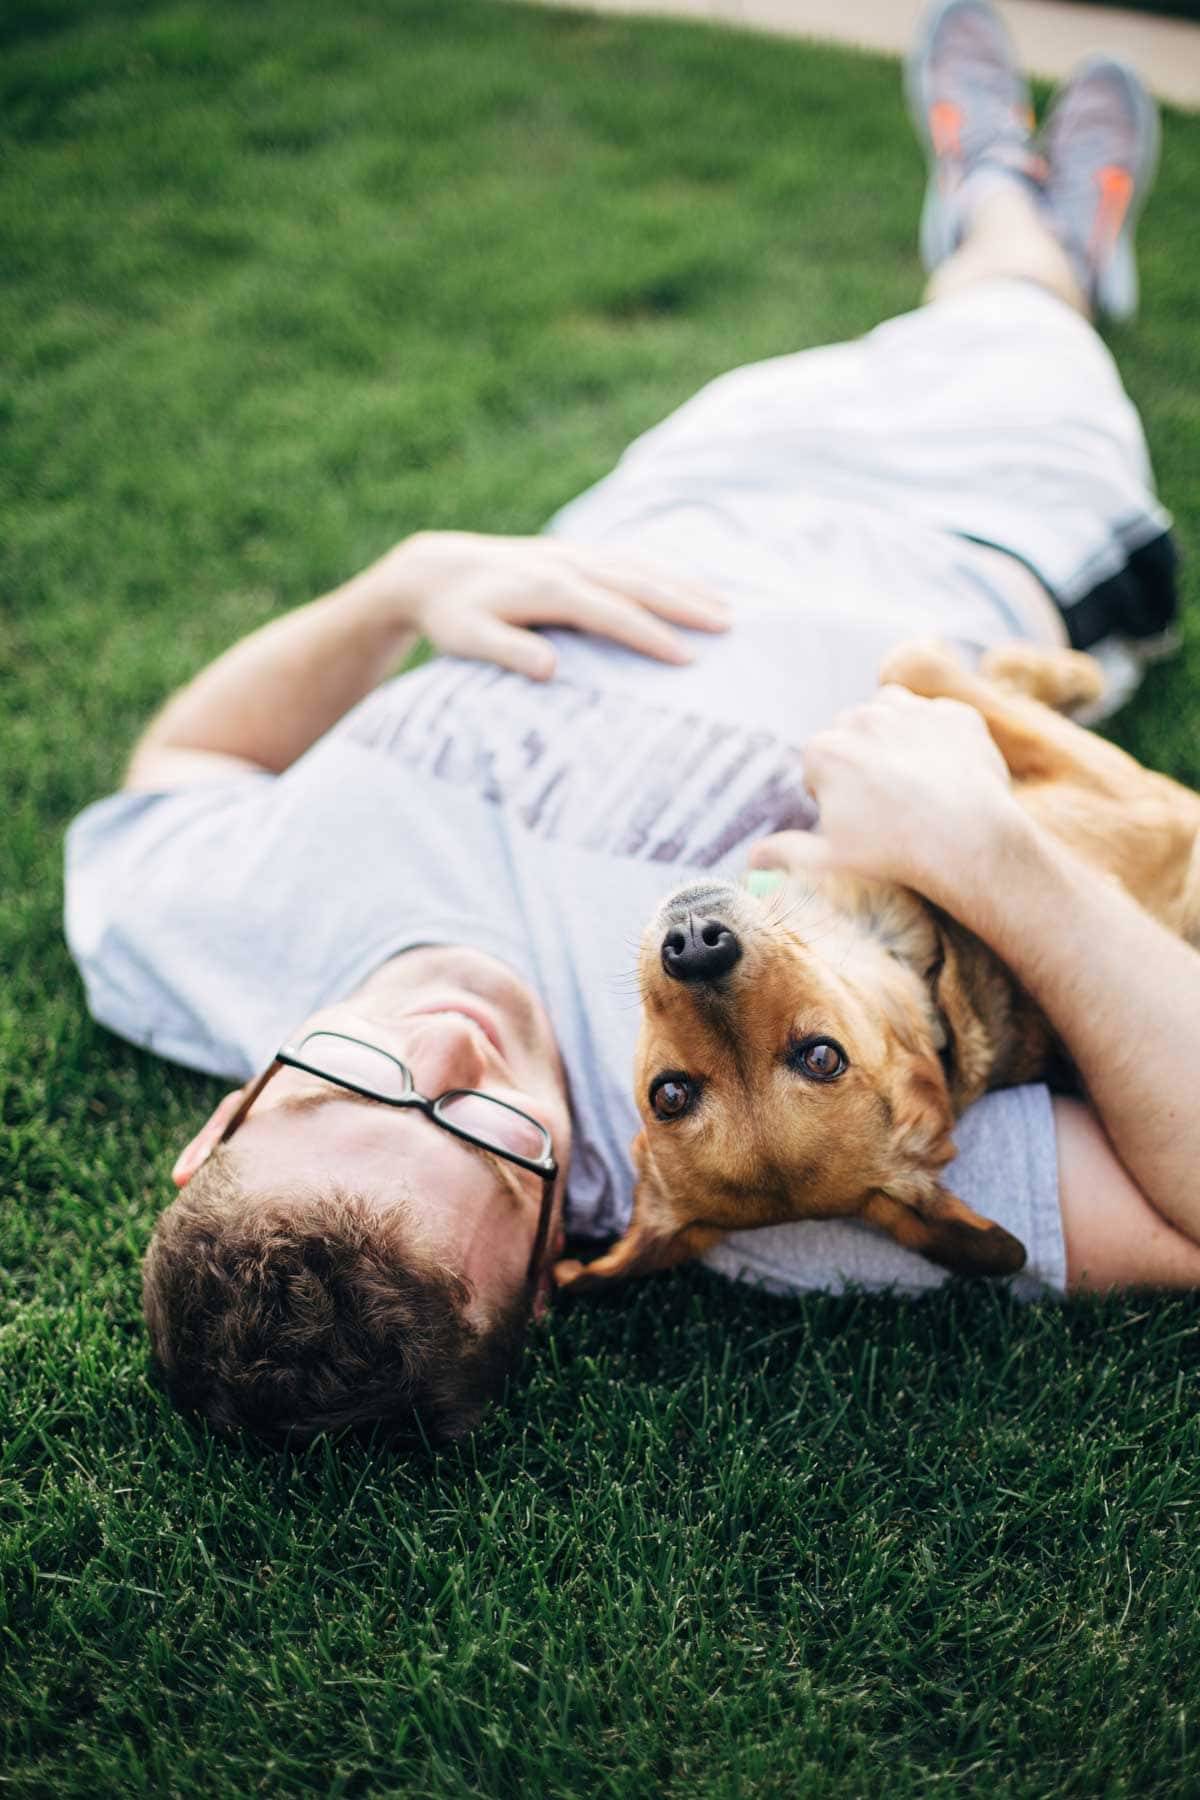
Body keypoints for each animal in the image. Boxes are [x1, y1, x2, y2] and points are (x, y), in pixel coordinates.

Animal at [557, 648, 1200, 1296]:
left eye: (820, 1057)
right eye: (668, 1094)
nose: (694, 947)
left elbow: (921, 666)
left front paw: (1051, 677)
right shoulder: (1141, 800)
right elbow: (924, 664)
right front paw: (1057, 676)